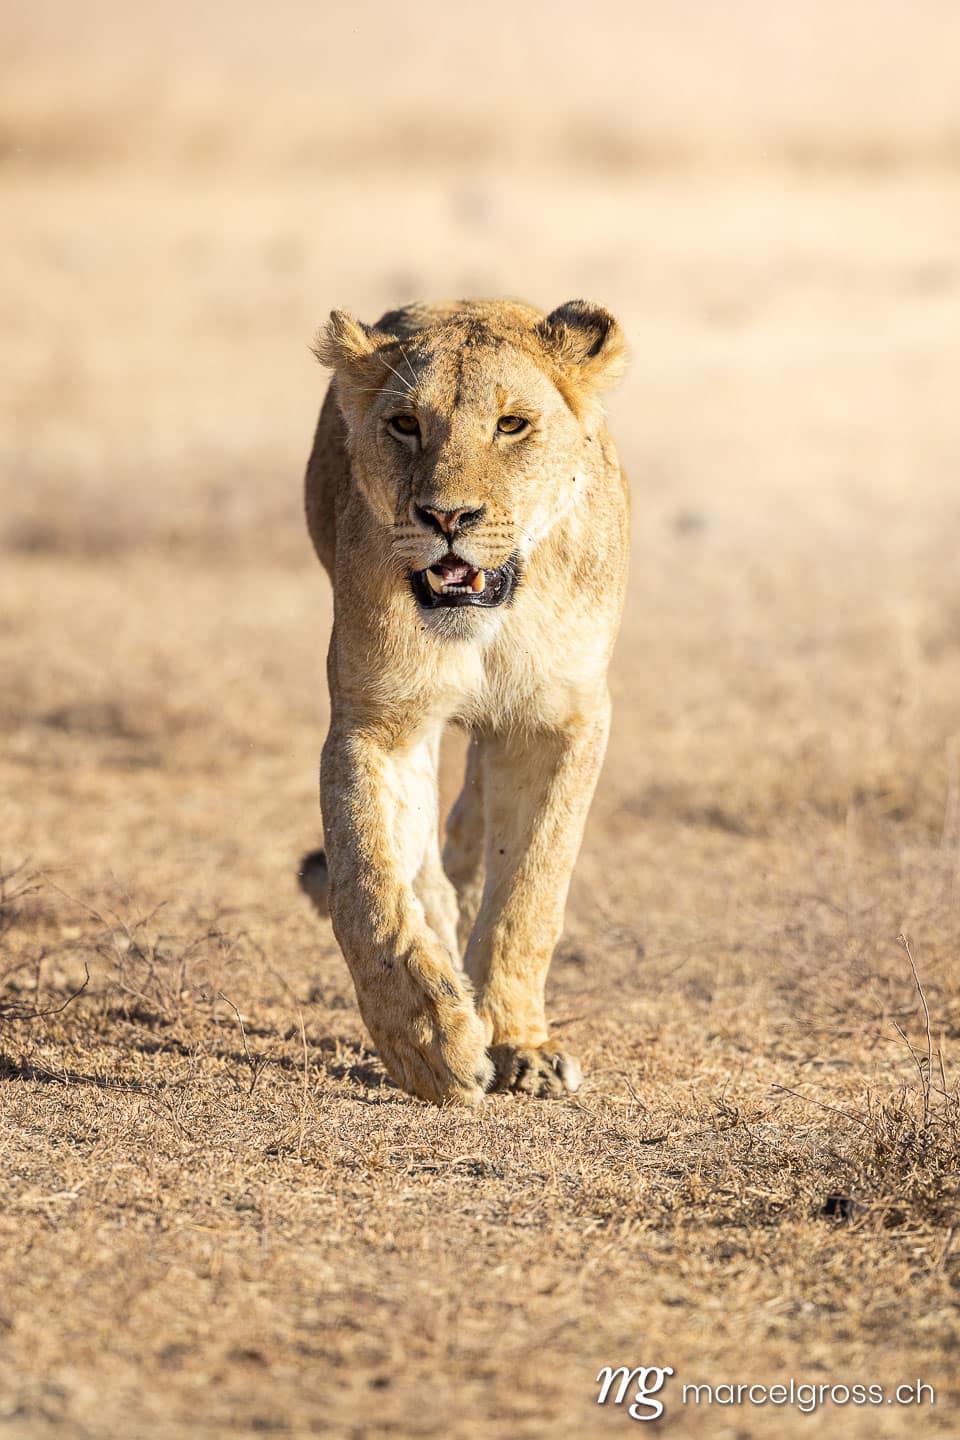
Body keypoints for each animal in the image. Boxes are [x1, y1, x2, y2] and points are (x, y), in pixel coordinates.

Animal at [299, 297, 628, 1104]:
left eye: (511, 425)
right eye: (405, 424)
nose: (448, 518)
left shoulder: (563, 721)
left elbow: (531, 890)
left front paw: (521, 1045)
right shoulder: (376, 720)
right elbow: (367, 885)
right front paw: (428, 1038)